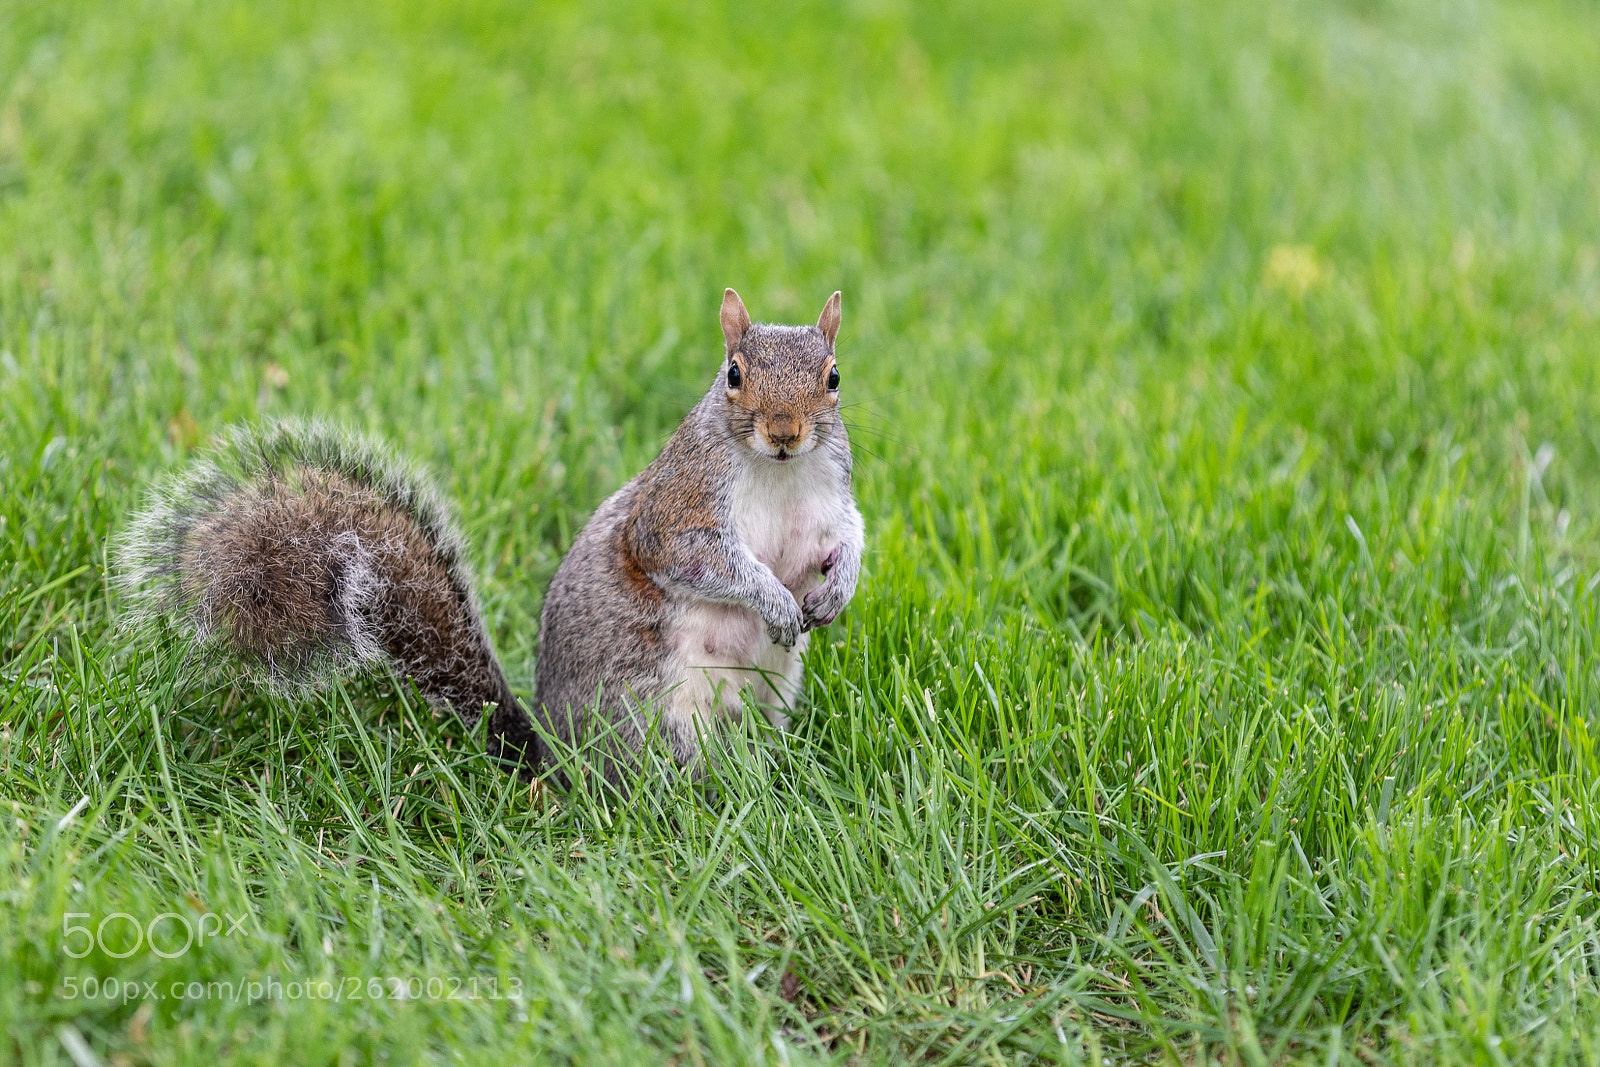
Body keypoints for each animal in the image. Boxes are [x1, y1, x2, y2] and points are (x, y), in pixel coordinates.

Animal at [117, 289, 864, 782]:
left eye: (833, 377)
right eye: (734, 375)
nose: (785, 432)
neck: (778, 475)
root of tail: (556, 764)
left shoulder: (829, 500)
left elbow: (846, 538)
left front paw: (838, 588)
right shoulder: (676, 509)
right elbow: (698, 559)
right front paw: (773, 600)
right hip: (659, 714)